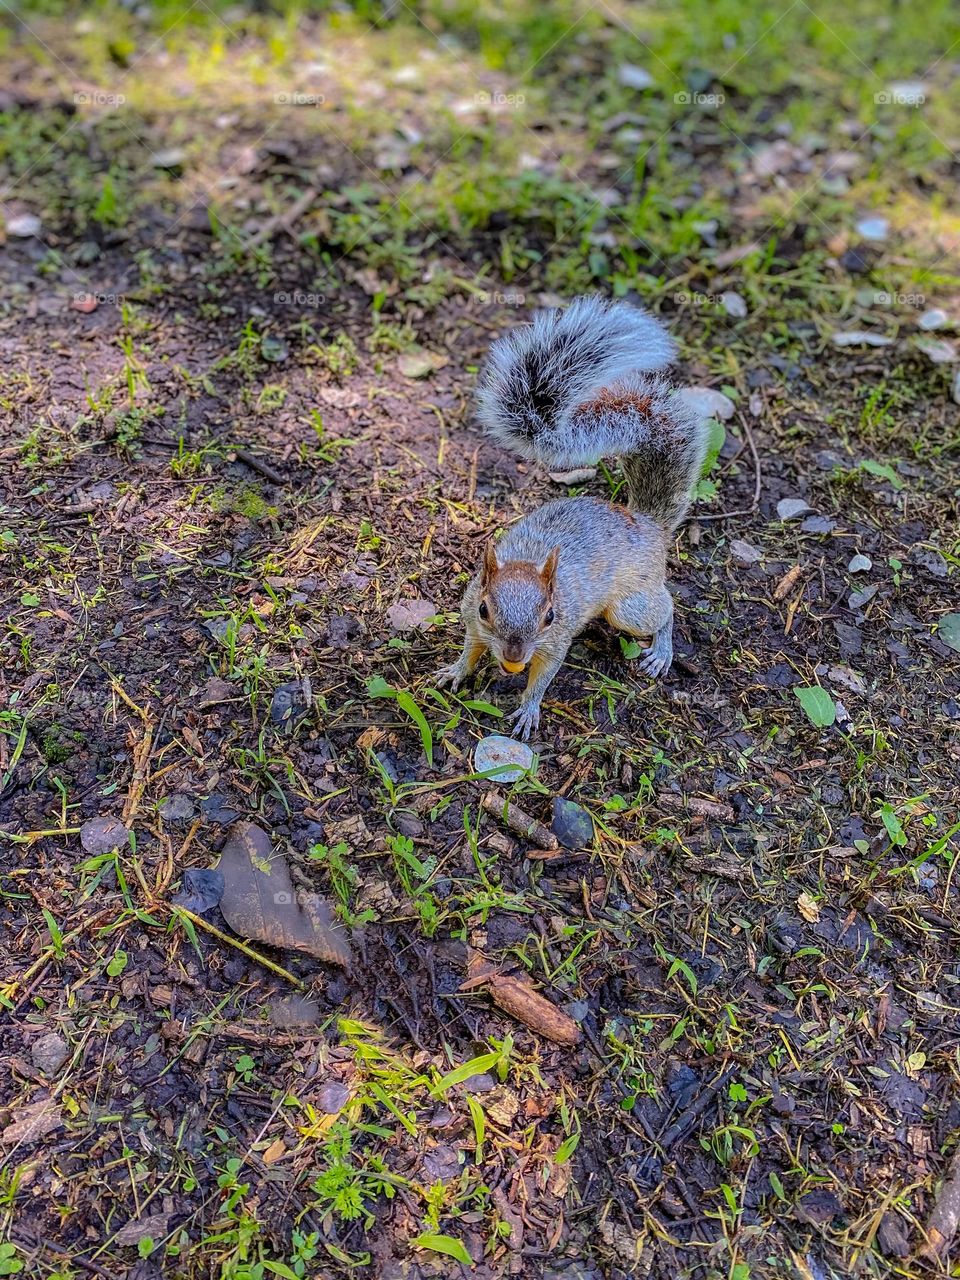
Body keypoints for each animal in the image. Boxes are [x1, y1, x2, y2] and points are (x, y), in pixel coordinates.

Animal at [436, 295, 710, 740]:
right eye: (484, 610)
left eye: (550, 616)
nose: (513, 657)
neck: (527, 562)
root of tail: (647, 524)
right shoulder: (473, 623)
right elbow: (470, 649)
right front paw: (456, 671)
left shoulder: (556, 641)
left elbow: (544, 675)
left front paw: (528, 707)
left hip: (629, 606)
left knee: (665, 608)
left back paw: (661, 651)